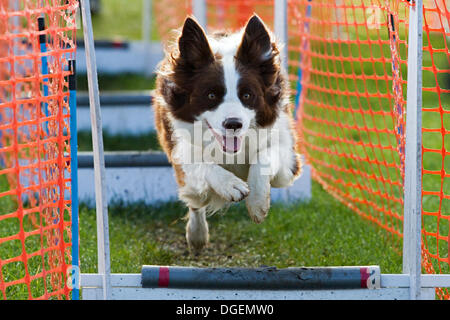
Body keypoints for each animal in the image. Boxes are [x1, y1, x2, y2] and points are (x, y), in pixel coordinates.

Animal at [154, 15, 302, 254]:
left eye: (247, 95)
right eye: (211, 95)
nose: (233, 124)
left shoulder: (288, 158)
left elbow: (264, 158)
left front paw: (257, 202)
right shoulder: (179, 147)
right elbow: (201, 164)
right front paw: (230, 185)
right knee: (195, 201)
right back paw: (197, 234)